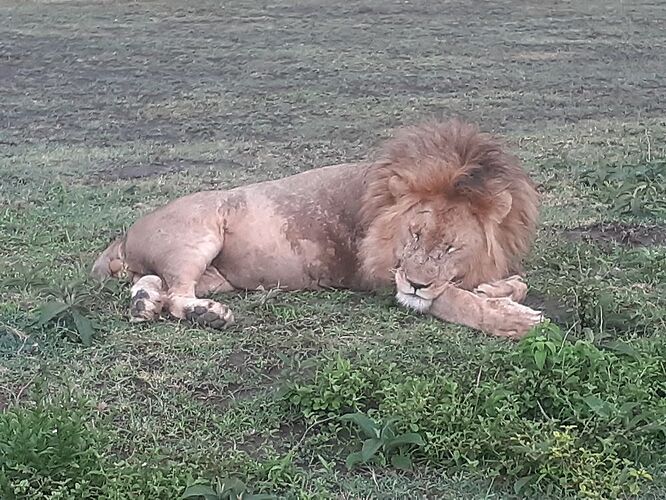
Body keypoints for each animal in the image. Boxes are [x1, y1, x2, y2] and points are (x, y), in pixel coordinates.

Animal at [91, 119, 544, 338]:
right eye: (414, 234)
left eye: (450, 248)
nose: (416, 283)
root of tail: (125, 234)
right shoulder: (378, 274)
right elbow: (450, 300)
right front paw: (514, 321)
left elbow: (509, 284)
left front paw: (498, 291)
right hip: (199, 232)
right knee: (176, 295)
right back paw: (207, 316)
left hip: (216, 277)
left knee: (156, 282)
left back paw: (144, 303)